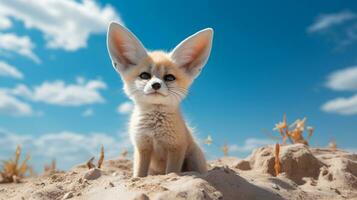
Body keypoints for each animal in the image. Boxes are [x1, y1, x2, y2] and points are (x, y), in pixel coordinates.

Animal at [105, 22, 211, 177]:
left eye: (169, 78)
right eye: (144, 75)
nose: (156, 85)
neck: (155, 129)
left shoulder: (176, 148)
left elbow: (171, 172)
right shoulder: (142, 147)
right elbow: (138, 175)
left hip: (194, 157)